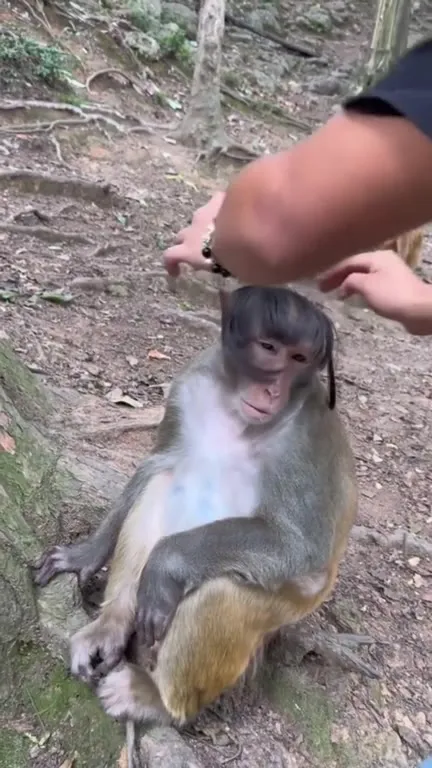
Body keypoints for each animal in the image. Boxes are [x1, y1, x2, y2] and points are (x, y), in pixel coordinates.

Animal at [33, 285, 358, 730]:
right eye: (269, 348)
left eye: (299, 359)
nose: (273, 391)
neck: (237, 413)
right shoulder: (191, 381)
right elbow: (156, 463)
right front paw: (86, 554)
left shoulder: (307, 436)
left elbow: (300, 545)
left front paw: (165, 563)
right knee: (161, 484)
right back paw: (112, 625)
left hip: (289, 604)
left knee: (225, 591)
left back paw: (159, 700)